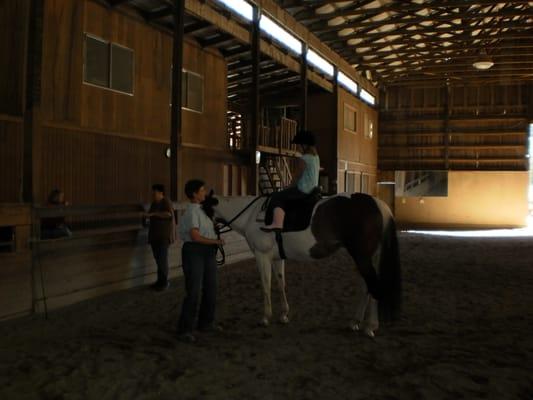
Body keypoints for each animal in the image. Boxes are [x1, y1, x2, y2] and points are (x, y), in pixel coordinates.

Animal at [206, 191, 402, 338]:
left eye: (203, 208)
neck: (251, 216)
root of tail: (378, 204)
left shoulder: (262, 256)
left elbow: (266, 286)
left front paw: (265, 317)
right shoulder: (276, 258)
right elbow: (280, 283)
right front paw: (284, 315)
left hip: (362, 257)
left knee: (373, 286)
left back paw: (370, 326)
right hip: (367, 257)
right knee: (366, 287)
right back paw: (355, 322)